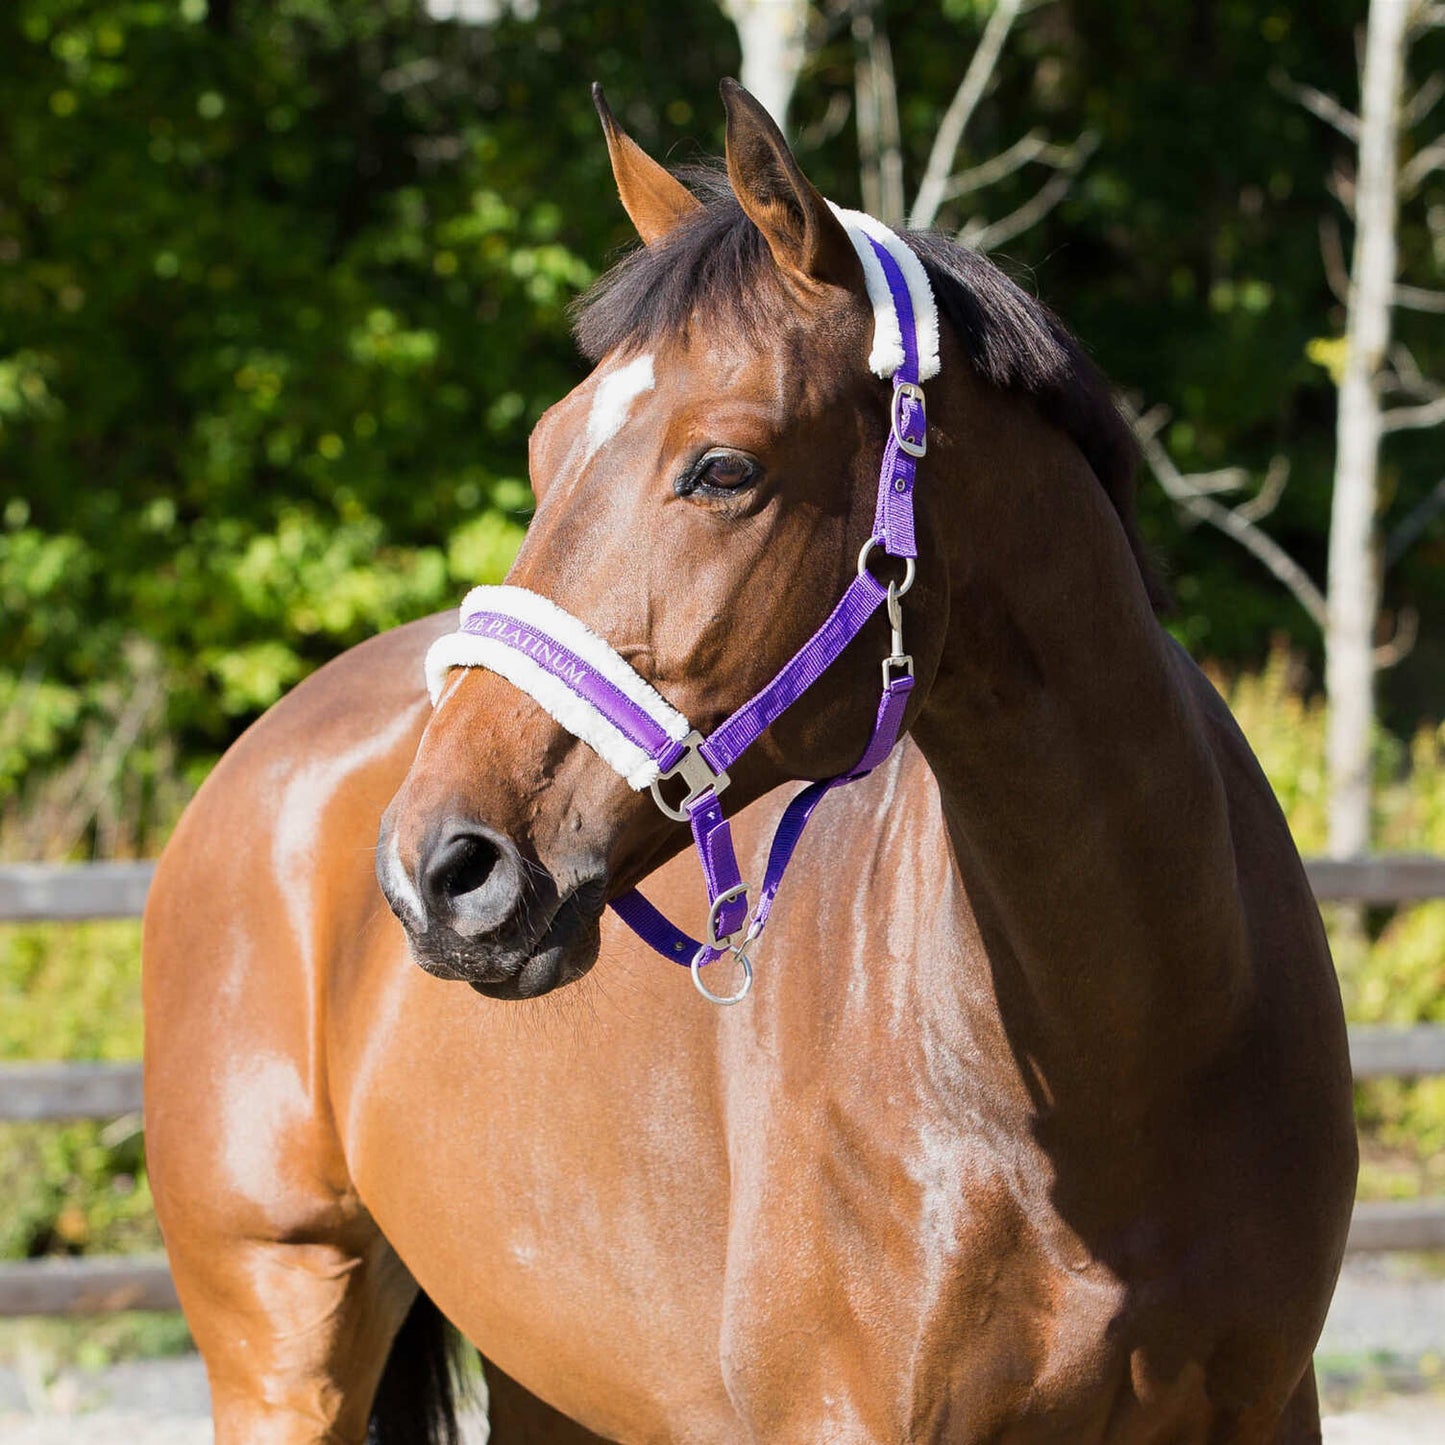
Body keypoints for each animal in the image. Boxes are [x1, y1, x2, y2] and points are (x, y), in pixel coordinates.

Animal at [140, 82, 1358, 1445]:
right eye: (543, 449)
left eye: (724, 467)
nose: (437, 869)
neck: (1124, 1060)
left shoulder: (1269, 1404)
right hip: (281, 1341)